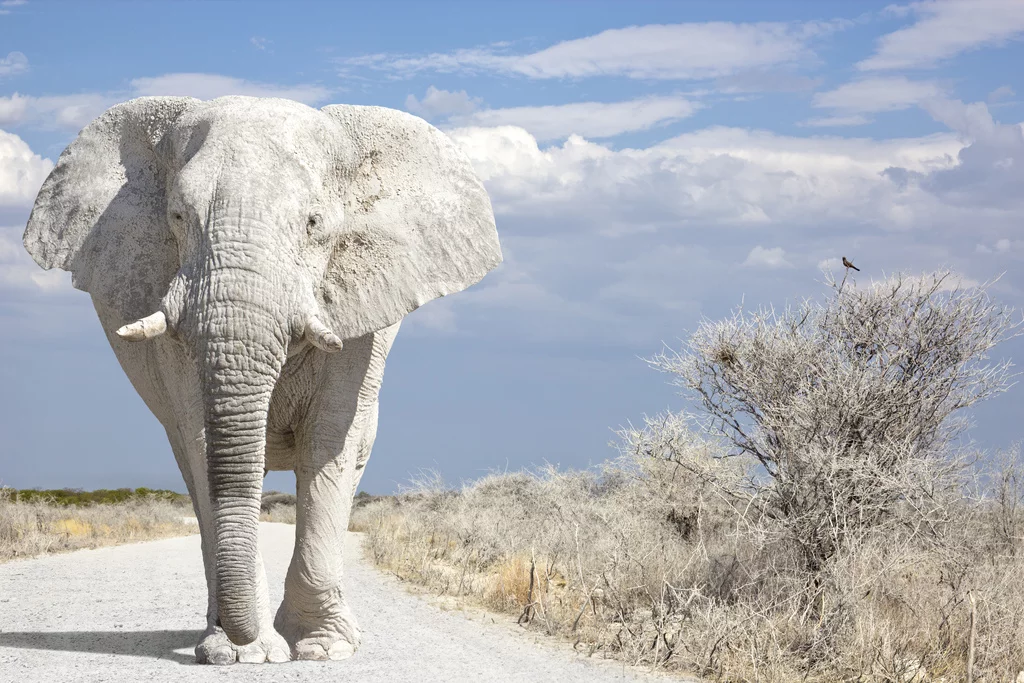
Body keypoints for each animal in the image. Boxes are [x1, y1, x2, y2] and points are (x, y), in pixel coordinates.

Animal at [22, 96, 501, 663]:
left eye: (314, 222)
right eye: (177, 217)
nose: (248, 639)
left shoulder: (360, 325)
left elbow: (328, 440)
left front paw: (322, 649)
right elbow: (204, 442)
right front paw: (243, 654)